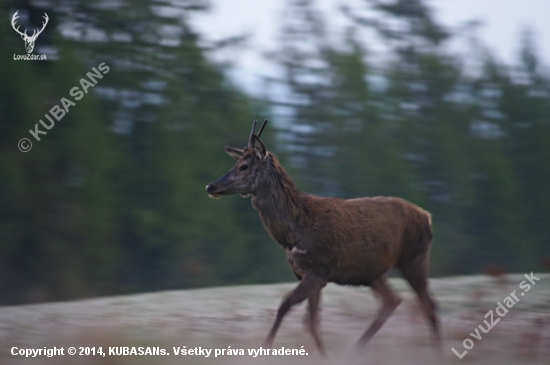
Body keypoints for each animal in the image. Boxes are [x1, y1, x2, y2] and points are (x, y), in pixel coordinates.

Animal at [205, 119, 442, 352]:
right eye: (235, 163)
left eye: (243, 166)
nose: (211, 185)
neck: (293, 233)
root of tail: (427, 217)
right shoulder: (308, 273)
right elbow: (311, 321)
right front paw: (323, 355)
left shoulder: (318, 270)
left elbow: (285, 307)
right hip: (373, 272)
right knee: (392, 301)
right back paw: (356, 350)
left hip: (413, 257)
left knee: (429, 304)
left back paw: (435, 352)